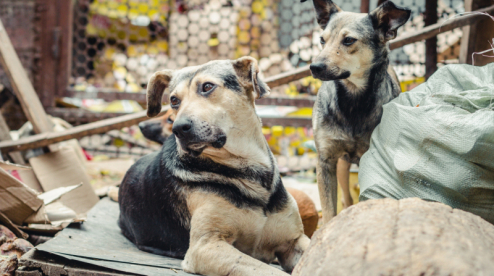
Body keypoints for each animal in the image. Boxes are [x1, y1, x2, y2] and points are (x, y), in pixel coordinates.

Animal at [118, 56, 308, 276]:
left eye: (207, 86)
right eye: (174, 100)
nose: (178, 128)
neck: (247, 168)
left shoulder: (294, 240)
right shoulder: (206, 246)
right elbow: (268, 271)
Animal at [302, 0, 412, 223]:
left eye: (348, 40)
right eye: (322, 40)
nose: (314, 67)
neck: (352, 101)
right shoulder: (326, 161)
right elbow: (329, 210)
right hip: (342, 166)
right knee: (346, 198)